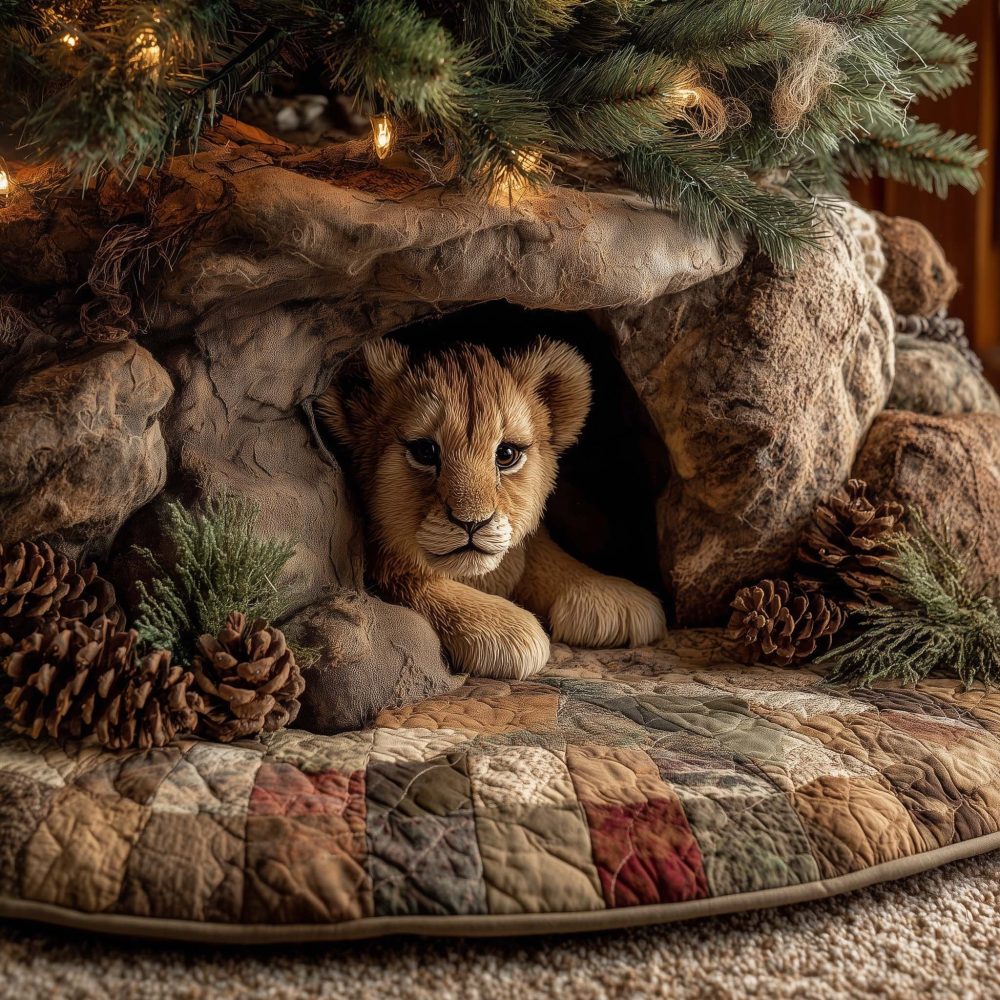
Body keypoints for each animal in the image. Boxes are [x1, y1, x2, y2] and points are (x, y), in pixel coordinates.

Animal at [318, 336, 667, 680]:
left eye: (507, 454)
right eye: (425, 451)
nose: (472, 523)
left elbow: (542, 553)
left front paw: (613, 599)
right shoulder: (387, 567)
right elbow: (415, 581)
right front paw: (508, 630)